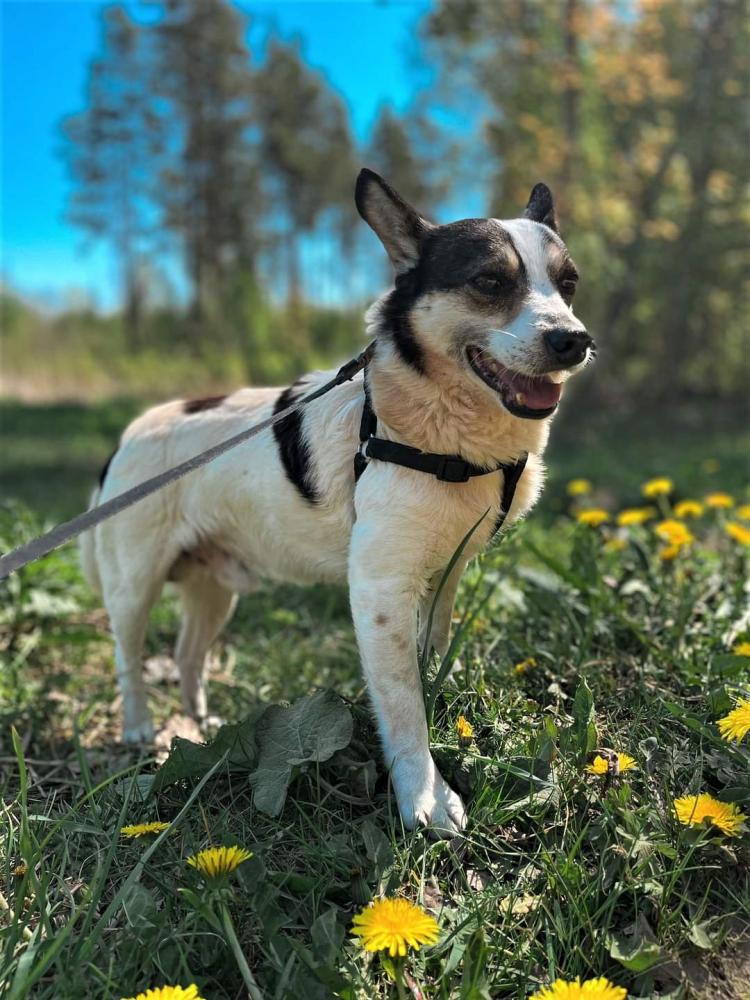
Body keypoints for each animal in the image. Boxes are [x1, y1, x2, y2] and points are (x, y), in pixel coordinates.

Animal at [80, 168, 593, 835]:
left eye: (569, 284)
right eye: (488, 282)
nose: (574, 341)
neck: (434, 423)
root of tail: (128, 437)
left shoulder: (442, 577)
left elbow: (429, 661)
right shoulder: (379, 589)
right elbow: (402, 704)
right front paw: (423, 793)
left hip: (215, 589)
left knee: (188, 654)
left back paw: (200, 725)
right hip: (134, 584)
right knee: (130, 653)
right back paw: (140, 727)